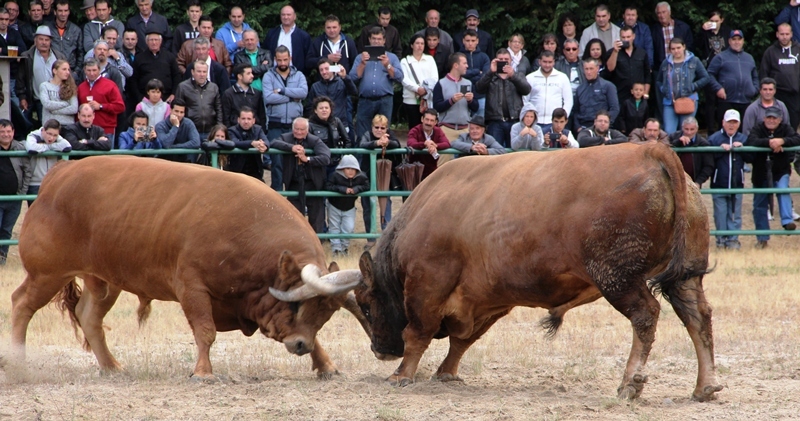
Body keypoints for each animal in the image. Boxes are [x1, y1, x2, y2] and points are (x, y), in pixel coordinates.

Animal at [8, 157, 360, 378]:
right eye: (297, 306)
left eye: (324, 313)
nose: (300, 345)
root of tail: (59, 174)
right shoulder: (192, 288)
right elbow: (205, 331)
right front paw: (203, 372)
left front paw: (325, 364)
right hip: (47, 274)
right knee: (21, 304)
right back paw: (19, 362)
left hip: (104, 280)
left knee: (89, 317)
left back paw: (111, 366)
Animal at [318, 142, 720, 400]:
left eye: (366, 304)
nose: (380, 348)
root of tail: (650, 151)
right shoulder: (488, 299)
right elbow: (463, 341)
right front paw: (446, 372)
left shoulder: (427, 286)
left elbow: (419, 333)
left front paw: (401, 374)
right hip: (686, 276)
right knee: (698, 318)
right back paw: (705, 386)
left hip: (617, 279)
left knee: (646, 315)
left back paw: (630, 383)